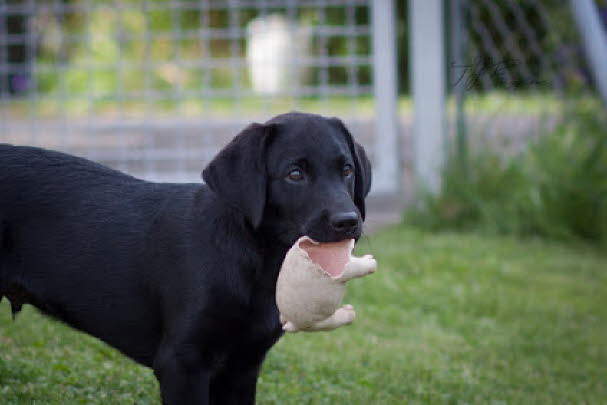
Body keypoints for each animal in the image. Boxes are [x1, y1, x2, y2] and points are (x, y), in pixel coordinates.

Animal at [0, 111, 372, 404]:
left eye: (347, 170)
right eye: (295, 174)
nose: (347, 221)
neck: (256, 260)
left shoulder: (242, 367)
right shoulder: (182, 363)